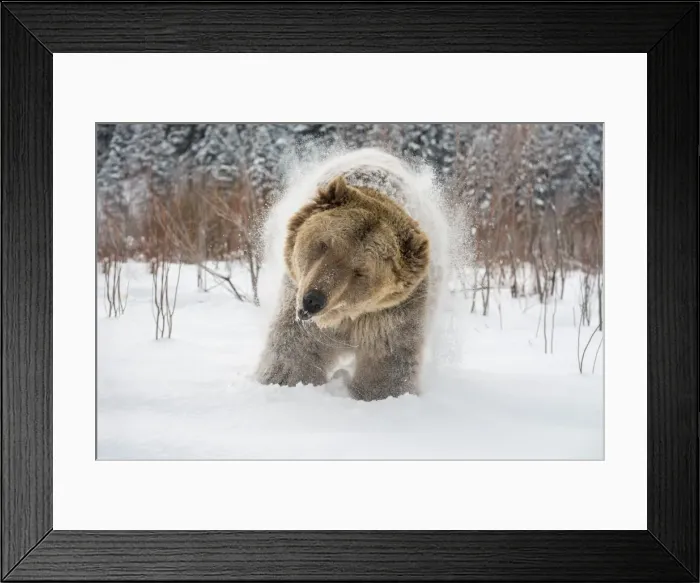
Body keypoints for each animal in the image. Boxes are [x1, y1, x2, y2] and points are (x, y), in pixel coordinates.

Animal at [254, 169, 434, 401]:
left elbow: (388, 360)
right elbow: (295, 349)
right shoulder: (298, 299)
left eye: (361, 272)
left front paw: (381, 394)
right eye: (324, 245)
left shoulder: (389, 314)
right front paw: (283, 380)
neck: (343, 316)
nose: (313, 300)